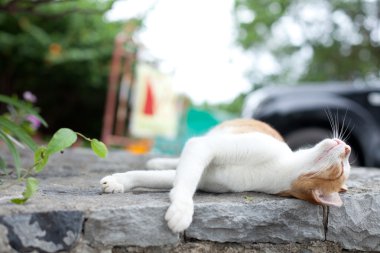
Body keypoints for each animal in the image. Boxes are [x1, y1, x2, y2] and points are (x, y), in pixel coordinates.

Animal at [98, 118, 350, 233]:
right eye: (345, 164)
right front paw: (119, 181)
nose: (347, 147)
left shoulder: (206, 174)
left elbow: (176, 181)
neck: (274, 170)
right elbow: (164, 177)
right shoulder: (203, 147)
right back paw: (156, 160)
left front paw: (180, 210)